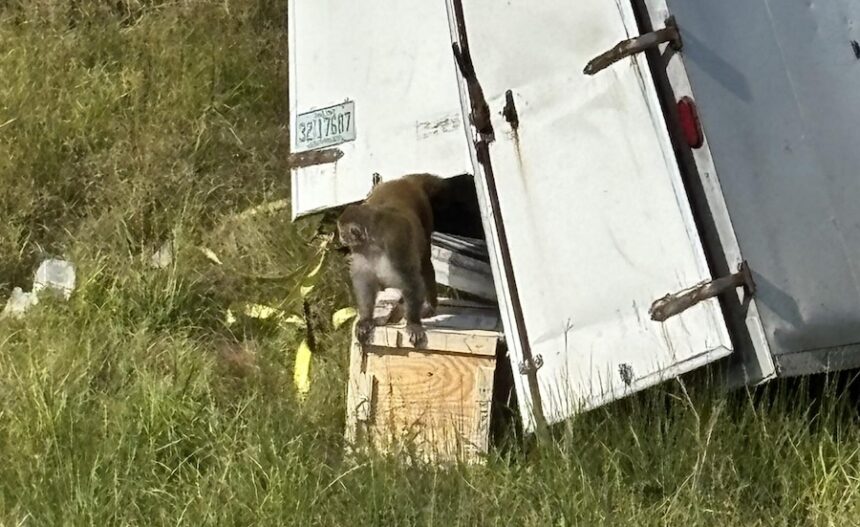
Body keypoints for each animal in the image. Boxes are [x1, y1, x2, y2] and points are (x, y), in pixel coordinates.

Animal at [337, 173, 446, 347]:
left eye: (342, 232)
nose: (341, 238)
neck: (373, 242)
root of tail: (404, 180)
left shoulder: (395, 244)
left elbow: (411, 280)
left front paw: (413, 323)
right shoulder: (361, 251)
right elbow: (365, 282)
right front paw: (366, 319)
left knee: (424, 262)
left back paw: (429, 306)